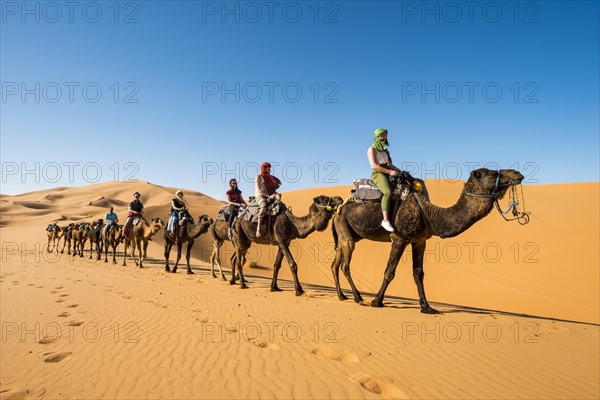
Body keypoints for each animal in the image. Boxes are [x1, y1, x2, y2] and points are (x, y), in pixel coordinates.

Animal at [330, 166, 524, 312]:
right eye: (492, 173)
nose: (517, 173)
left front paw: (426, 307)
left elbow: (418, 273)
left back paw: (342, 295)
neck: (429, 214)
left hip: (346, 233)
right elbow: (389, 271)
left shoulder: (419, 240)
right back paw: (358, 297)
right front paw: (377, 301)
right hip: (346, 230)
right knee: (346, 264)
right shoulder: (399, 238)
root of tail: (338, 208)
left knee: (335, 263)